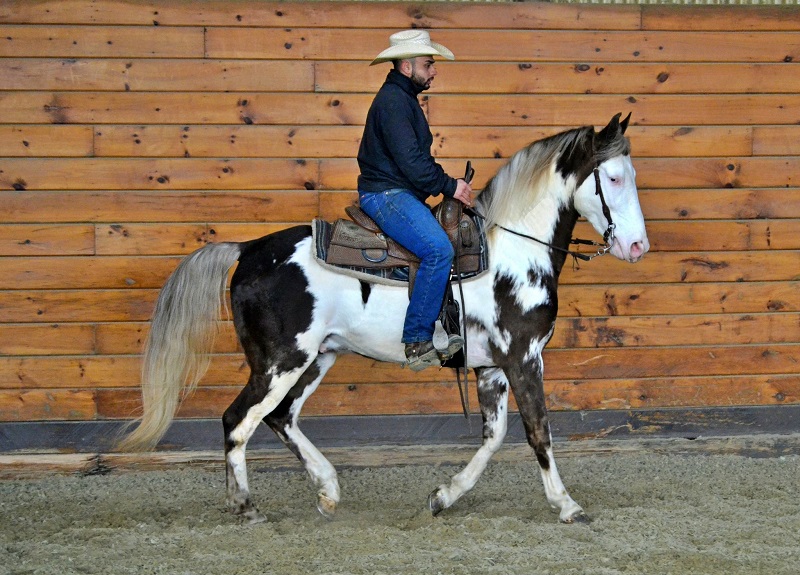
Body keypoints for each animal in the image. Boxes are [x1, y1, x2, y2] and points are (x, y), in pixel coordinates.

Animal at [118, 112, 649, 524]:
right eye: (613, 178)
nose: (637, 246)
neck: (512, 249)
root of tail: (248, 250)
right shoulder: (523, 358)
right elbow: (538, 429)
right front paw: (567, 504)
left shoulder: (492, 367)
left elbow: (494, 438)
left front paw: (442, 497)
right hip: (280, 361)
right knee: (238, 419)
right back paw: (246, 506)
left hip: (317, 358)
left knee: (281, 417)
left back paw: (328, 491)